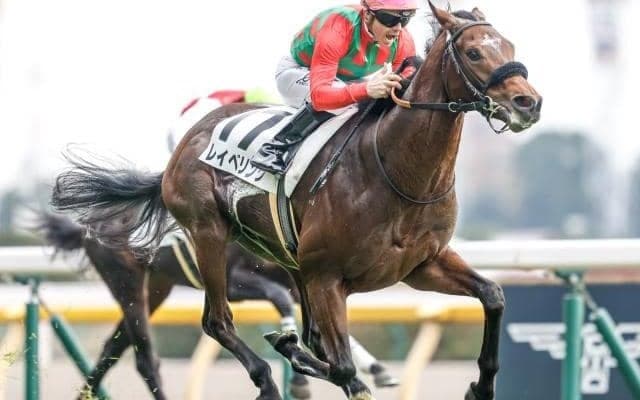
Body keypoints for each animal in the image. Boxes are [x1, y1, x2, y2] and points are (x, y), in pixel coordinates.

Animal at [36, 212, 397, 400]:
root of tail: (85, 225)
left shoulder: (302, 279)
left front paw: (373, 370)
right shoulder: (235, 282)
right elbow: (280, 300)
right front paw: (300, 378)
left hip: (157, 286)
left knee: (112, 349)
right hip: (127, 283)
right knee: (145, 359)